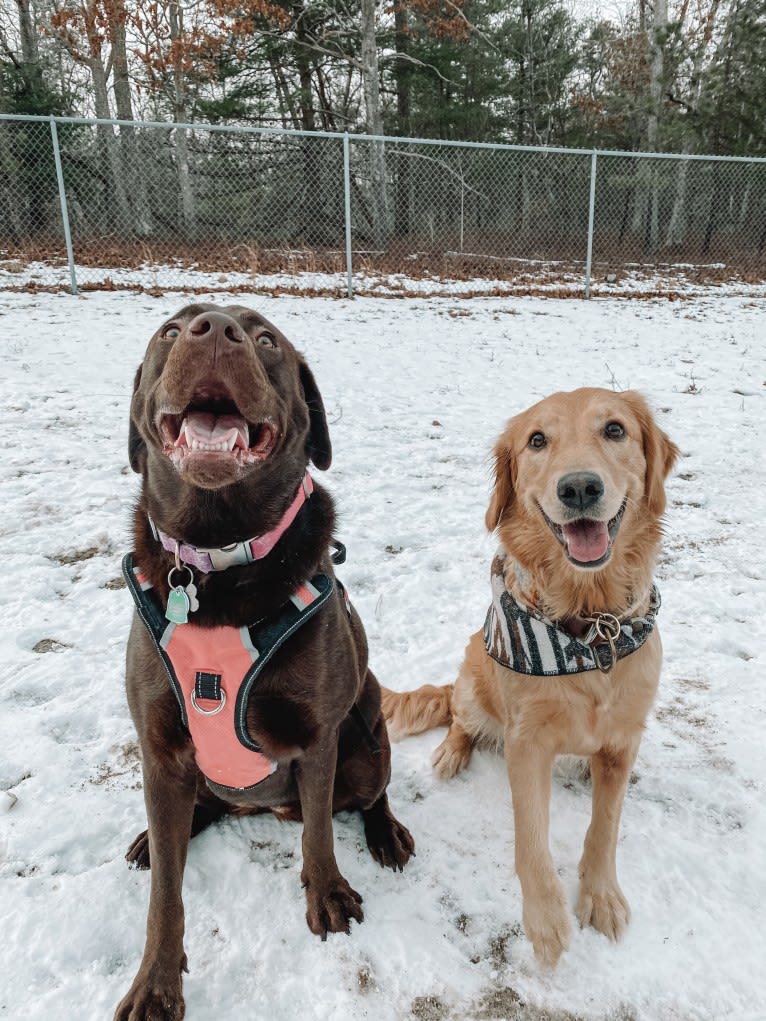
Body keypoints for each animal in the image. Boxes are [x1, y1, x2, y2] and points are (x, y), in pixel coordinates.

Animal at [116, 306, 414, 1021]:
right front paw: (155, 984)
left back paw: (386, 833)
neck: (217, 561)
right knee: (193, 817)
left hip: (367, 737)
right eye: (170, 331)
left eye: (266, 339)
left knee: (367, 794)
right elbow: (166, 896)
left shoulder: (317, 734)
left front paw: (327, 894)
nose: (213, 329)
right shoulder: (159, 749)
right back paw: (160, 836)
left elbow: (319, 834)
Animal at [384, 385, 678, 967]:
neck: (592, 628)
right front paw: (545, 920)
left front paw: (601, 897)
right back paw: (451, 752)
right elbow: (531, 839)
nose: (580, 487)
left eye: (615, 429)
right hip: (473, 675)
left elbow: (605, 828)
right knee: (459, 716)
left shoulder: (623, 742)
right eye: (537, 440)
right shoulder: (527, 741)